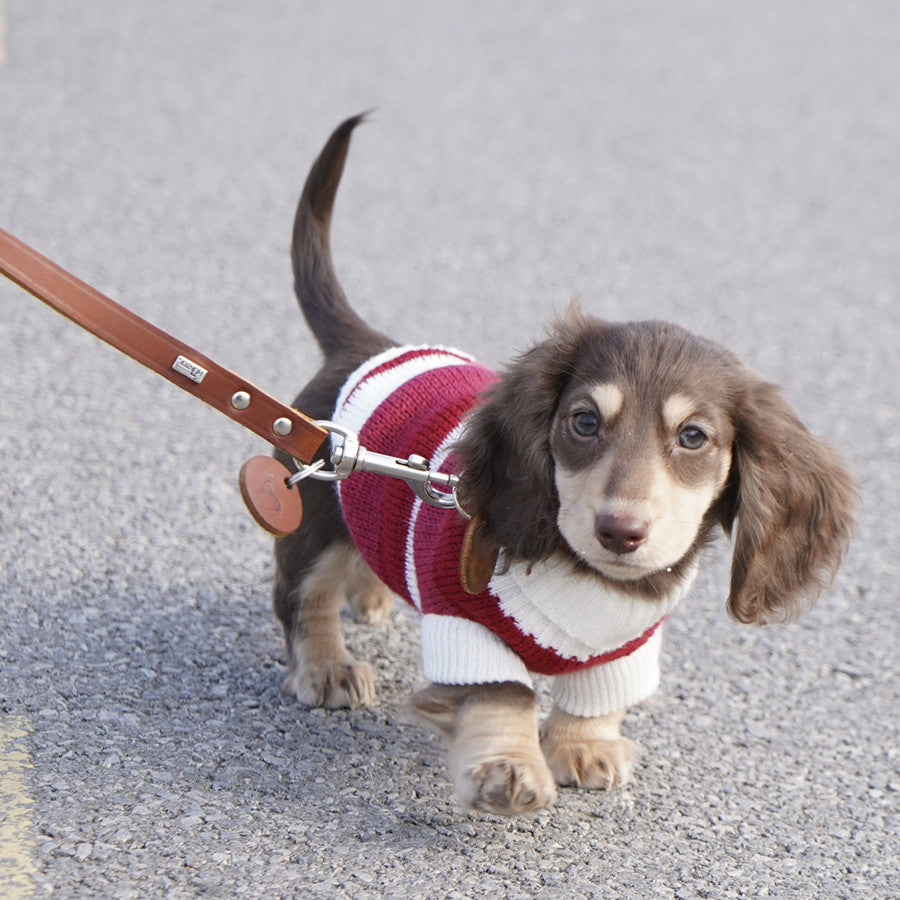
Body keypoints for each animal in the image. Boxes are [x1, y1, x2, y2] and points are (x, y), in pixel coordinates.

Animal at [268, 118, 856, 816]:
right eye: (584, 422)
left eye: (693, 437)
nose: (620, 531)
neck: (590, 583)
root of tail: (364, 346)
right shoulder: (465, 626)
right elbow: (503, 695)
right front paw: (508, 768)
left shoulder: (624, 650)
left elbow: (595, 699)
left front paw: (583, 747)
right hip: (312, 520)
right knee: (303, 595)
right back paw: (327, 665)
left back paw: (372, 595)